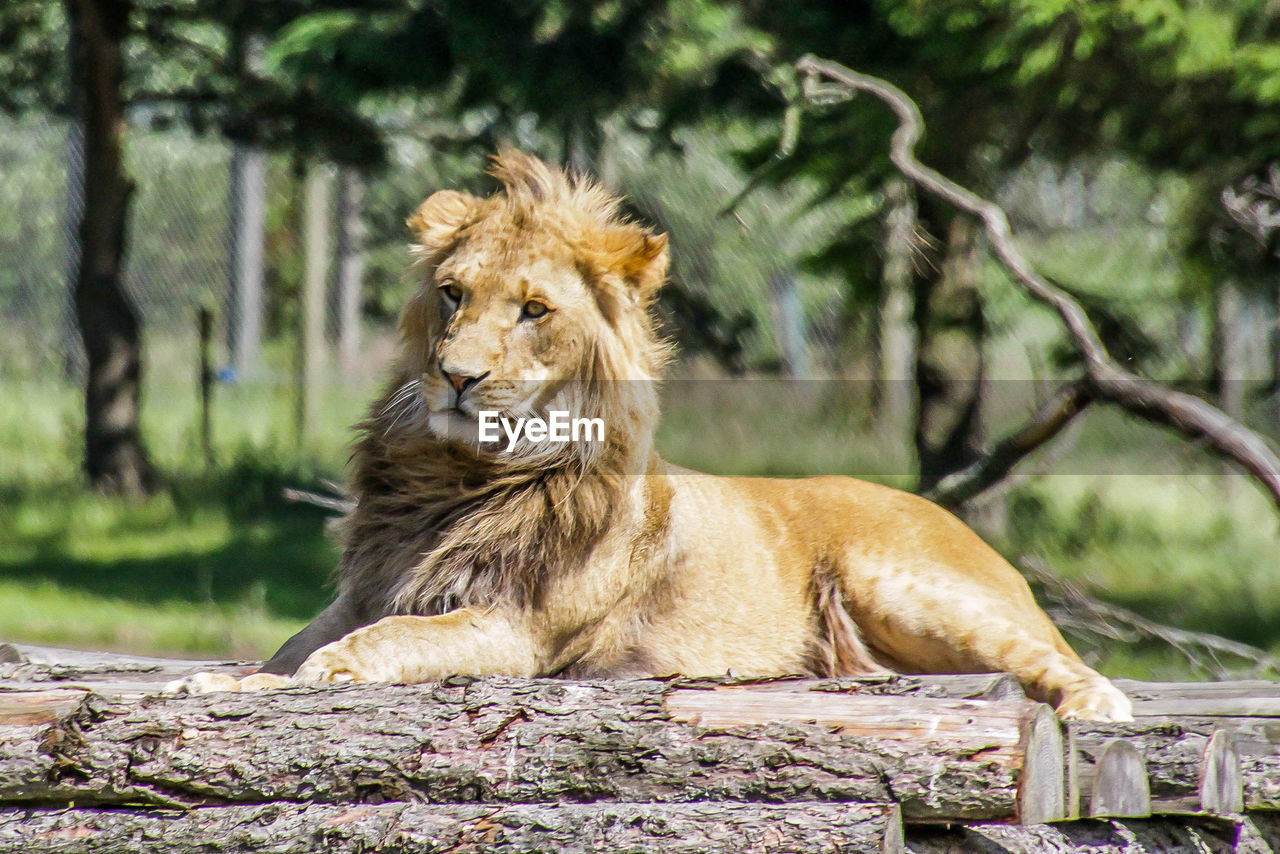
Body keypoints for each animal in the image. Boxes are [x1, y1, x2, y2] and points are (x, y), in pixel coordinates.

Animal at [180, 151, 1131, 722]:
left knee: (1060, 655)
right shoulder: (368, 587)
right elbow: (292, 643)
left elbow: (393, 639)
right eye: (452, 294)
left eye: (533, 310)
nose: (456, 375)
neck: (455, 478)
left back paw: (1095, 707)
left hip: (905, 585)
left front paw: (324, 672)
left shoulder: (516, 630)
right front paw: (225, 677)